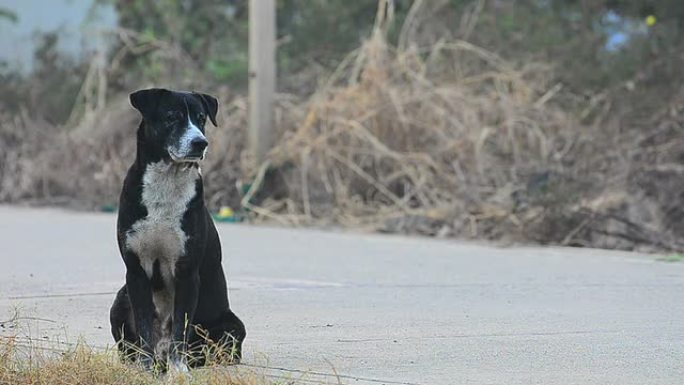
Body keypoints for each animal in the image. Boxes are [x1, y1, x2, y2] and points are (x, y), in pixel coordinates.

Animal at [108, 88, 244, 370]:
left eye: (201, 118)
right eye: (172, 117)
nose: (200, 143)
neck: (167, 181)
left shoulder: (186, 271)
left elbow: (181, 326)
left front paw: (179, 370)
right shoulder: (136, 271)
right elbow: (145, 326)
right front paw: (144, 369)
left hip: (233, 327)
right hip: (119, 300)